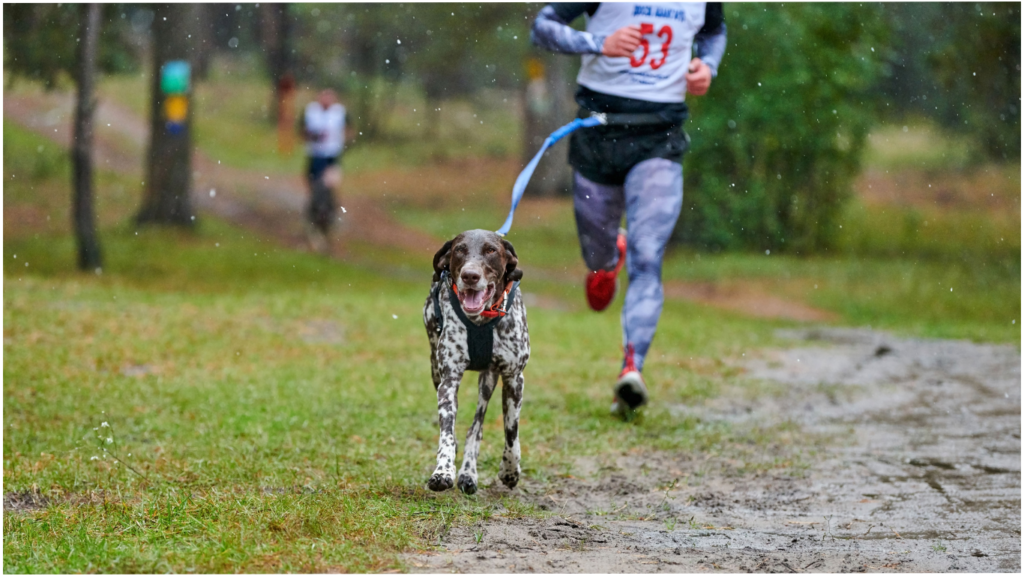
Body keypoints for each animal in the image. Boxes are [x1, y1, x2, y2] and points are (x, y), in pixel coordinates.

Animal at [421, 228, 532, 494]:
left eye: (491, 250)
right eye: (460, 249)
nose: (469, 275)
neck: (481, 320)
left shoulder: (514, 378)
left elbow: (511, 432)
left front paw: (510, 470)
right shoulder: (448, 382)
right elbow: (447, 432)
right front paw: (443, 471)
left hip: (488, 381)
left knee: (477, 426)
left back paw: (469, 473)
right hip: (435, 369)